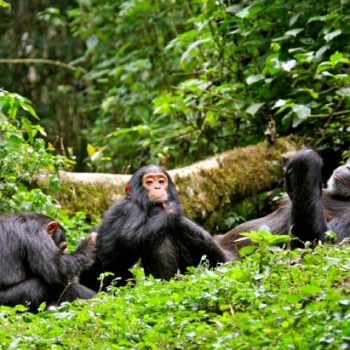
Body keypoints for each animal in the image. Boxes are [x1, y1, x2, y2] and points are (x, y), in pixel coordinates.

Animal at [80, 165, 231, 292]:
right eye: (149, 182)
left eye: (161, 181)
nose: (157, 187)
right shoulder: (133, 210)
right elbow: (131, 236)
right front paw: (171, 209)